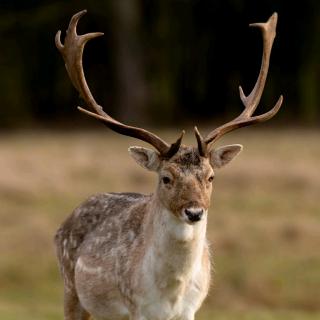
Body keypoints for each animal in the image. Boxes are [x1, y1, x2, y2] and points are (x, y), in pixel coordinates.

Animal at [54, 10, 282, 320]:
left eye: (211, 177)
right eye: (166, 177)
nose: (194, 211)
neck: (171, 294)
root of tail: (62, 225)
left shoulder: (190, 309)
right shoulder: (136, 307)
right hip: (71, 291)